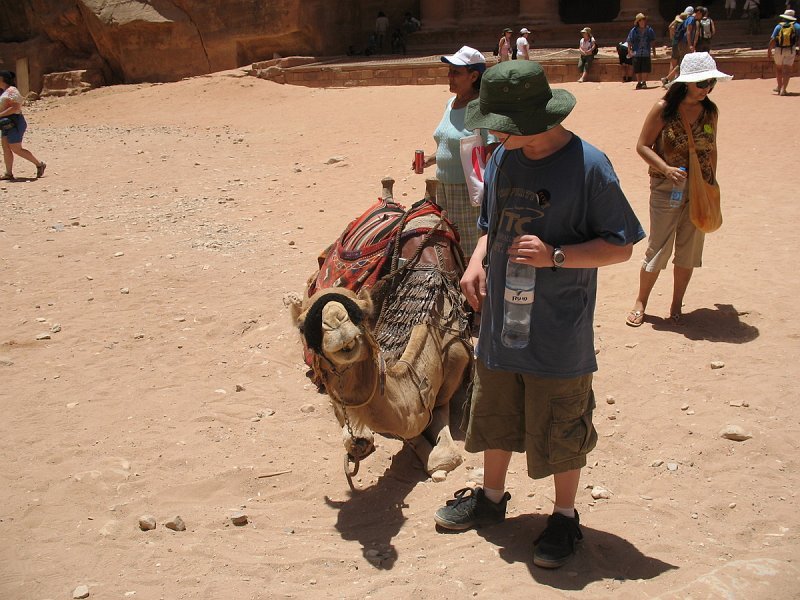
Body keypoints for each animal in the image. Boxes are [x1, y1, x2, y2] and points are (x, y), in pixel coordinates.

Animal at [286, 178, 472, 483]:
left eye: (359, 315)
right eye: (305, 327)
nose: (336, 323)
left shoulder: (450, 378)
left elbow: (443, 454)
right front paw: (360, 442)